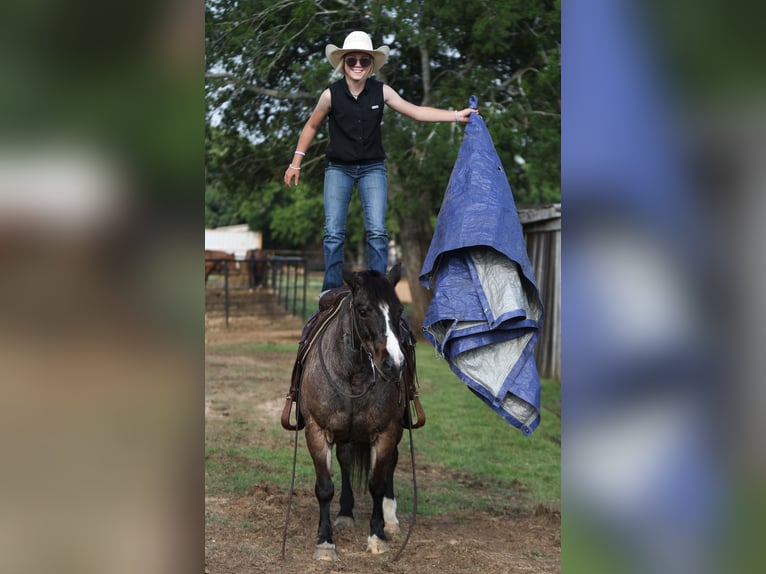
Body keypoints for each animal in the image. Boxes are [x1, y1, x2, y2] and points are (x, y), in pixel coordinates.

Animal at [296, 264, 412, 564]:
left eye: (399, 310)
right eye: (362, 310)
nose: (394, 364)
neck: (354, 375)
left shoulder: (386, 432)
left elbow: (377, 484)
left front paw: (377, 536)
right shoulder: (317, 430)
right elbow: (325, 487)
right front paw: (325, 543)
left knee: (390, 464)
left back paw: (390, 519)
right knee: (346, 461)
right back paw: (345, 513)